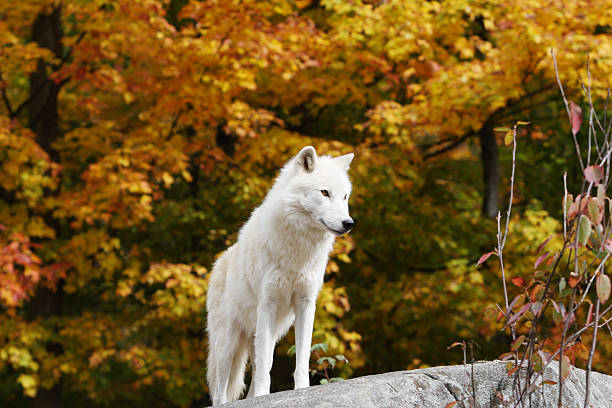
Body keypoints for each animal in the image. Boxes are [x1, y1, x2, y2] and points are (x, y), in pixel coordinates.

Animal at [206, 147, 354, 404]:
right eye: (324, 192)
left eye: (345, 197)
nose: (349, 223)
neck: (298, 248)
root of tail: (218, 263)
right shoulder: (268, 304)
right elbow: (265, 370)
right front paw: (264, 396)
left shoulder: (306, 304)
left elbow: (302, 358)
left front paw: (301, 390)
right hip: (228, 345)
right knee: (220, 392)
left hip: (266, 335)